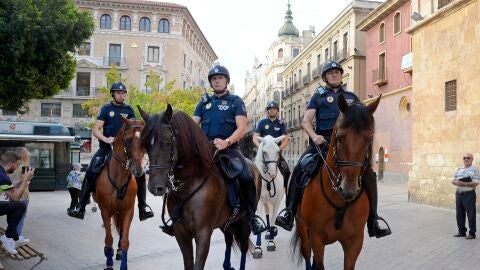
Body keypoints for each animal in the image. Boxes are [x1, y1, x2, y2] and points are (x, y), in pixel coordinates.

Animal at [93, 116, 144, 270]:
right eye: (128, 139)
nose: (138, 170)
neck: (119, 176)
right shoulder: (105, 210)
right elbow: (109, 238)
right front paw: (109, 263)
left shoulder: (128, 211)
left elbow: (125, 239)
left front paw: (123, 263)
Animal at [137, 105, 260, 270]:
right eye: (146, 145)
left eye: (167, 142)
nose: (155, 187)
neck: (190, 182)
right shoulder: (181, 233)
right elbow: (188, 264)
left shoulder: (203, 234)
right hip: (227, 222)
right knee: (228, 239)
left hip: (245, 220)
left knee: (244, 246)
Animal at [290, 95, 380, 270]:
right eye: (340, 137)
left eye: (369, 138)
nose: (348, 189)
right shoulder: (316, 238)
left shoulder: (355, 241)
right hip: (302, 228)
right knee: (307, 255)